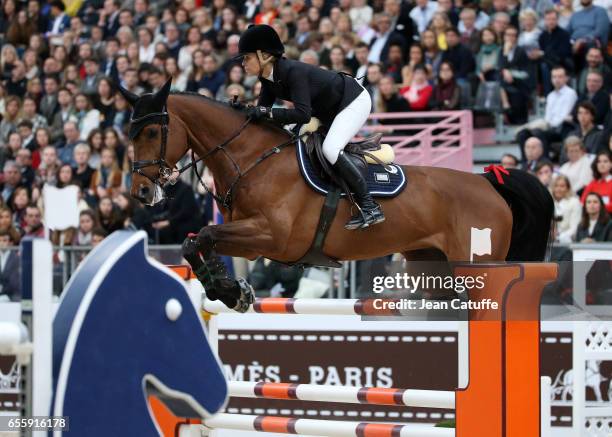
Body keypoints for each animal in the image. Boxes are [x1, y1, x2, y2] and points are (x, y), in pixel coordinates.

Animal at [119, 80, 556, 312]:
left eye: (151, 132)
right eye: (130, 132)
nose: (140, 192)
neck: (253, 159)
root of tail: (488, 181)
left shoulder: (271, 237)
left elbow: (204, 235)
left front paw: (231, 292)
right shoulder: (252, 241)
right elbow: (195, 241)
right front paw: (229, 290)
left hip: (478, 267)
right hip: (431, 266)